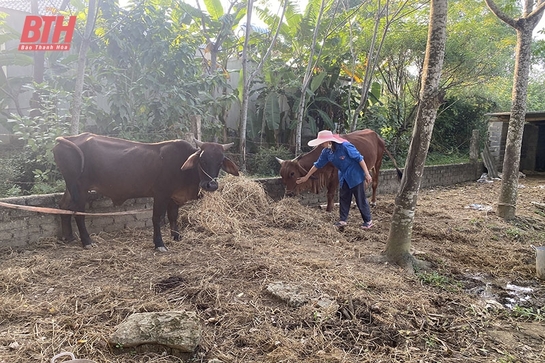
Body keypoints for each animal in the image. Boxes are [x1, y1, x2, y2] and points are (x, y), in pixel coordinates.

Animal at [54, 132, 239, 252]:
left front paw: (176, 236)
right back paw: (87, 241)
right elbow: (157, 218)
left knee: (63, 206)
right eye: (202, 159)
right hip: (80, 188)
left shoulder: (174, 197)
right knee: (78, 212)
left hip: (71, 186)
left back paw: (67, 237)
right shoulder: (161, 194)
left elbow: (173, 216)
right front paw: (159, 244)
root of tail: (68, 139)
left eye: (220, 161)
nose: (210, 185)